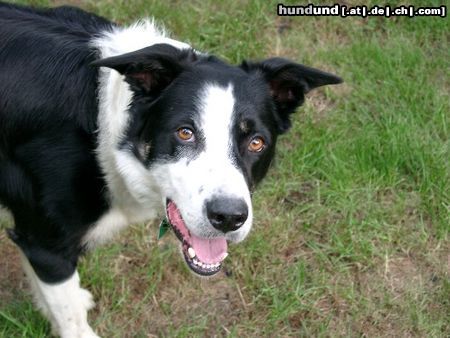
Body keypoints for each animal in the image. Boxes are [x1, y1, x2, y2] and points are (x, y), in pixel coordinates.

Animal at [0, 1, 342, 336]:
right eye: (185, 133)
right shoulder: (47, 245)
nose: (228, 218)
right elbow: (70, 315)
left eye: (256, 142)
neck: (104, 127)